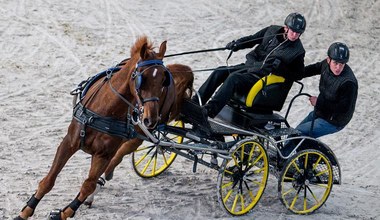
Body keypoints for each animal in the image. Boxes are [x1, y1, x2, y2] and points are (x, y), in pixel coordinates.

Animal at [13, 36, 183, 220]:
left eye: (163, 81)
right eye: (141, 78)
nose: (150, 119)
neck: (104, 111)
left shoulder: (103, 155)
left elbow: (88, 185)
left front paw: (64, 212)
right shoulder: (69, 142)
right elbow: (49, 180)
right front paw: (25, 212)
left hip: (140, 137)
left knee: (119, 157)